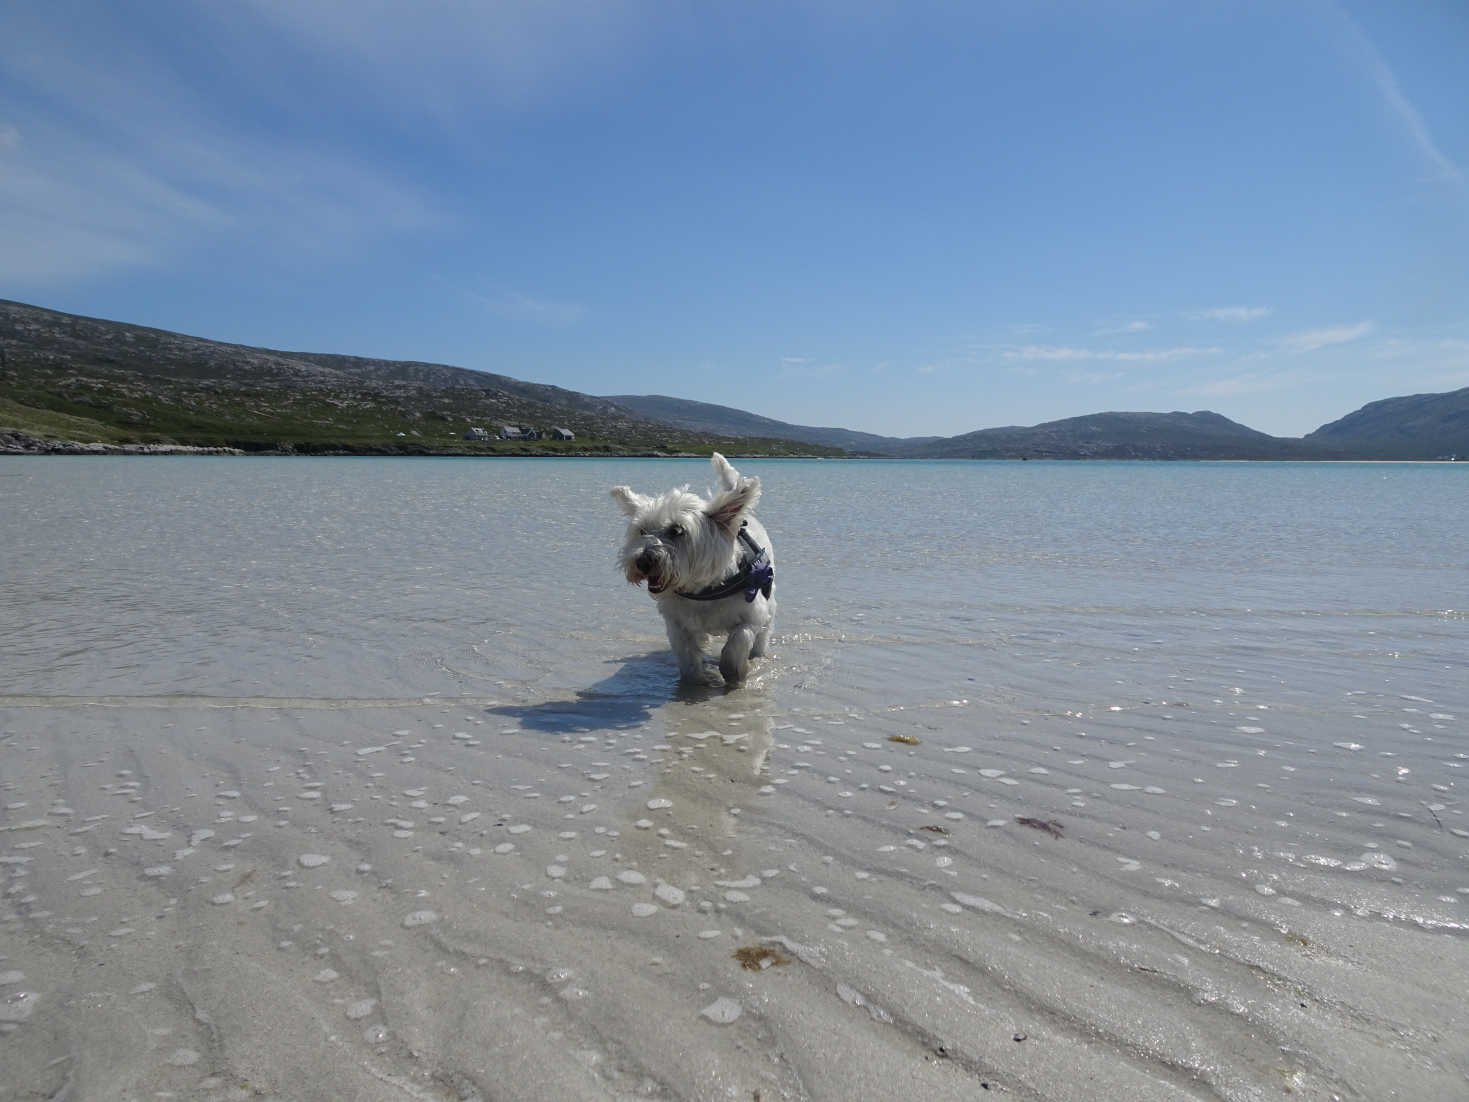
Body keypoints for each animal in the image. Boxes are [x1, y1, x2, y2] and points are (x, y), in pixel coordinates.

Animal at [611, 452, 775, 687]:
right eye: (642, 530)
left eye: (677, 530)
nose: (642, 562)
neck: (704, 590)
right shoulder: (678, 624)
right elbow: (688, 659)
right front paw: (696, 683)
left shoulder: (752, 614)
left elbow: (737, 644)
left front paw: (734, 675)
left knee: (763, 635)